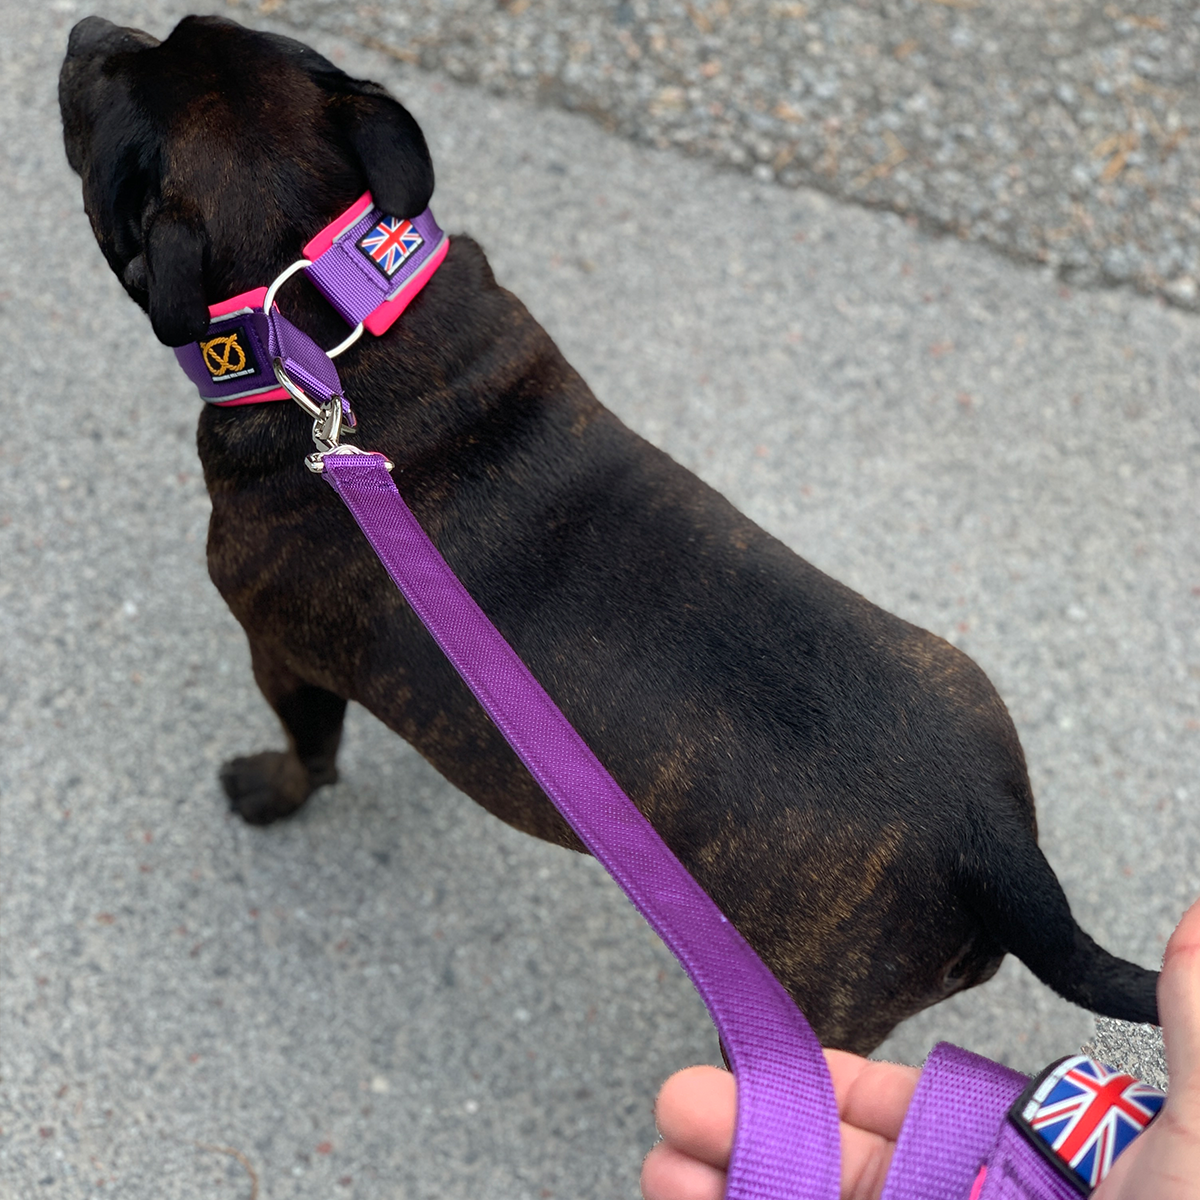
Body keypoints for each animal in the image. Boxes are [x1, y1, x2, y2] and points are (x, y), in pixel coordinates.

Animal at [60, 14, 1156, 1056]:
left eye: (104, 111)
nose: (82, 33)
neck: (334, 326)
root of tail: (998, 843)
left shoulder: (280, 658)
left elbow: (310, 750)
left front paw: (270, 790)